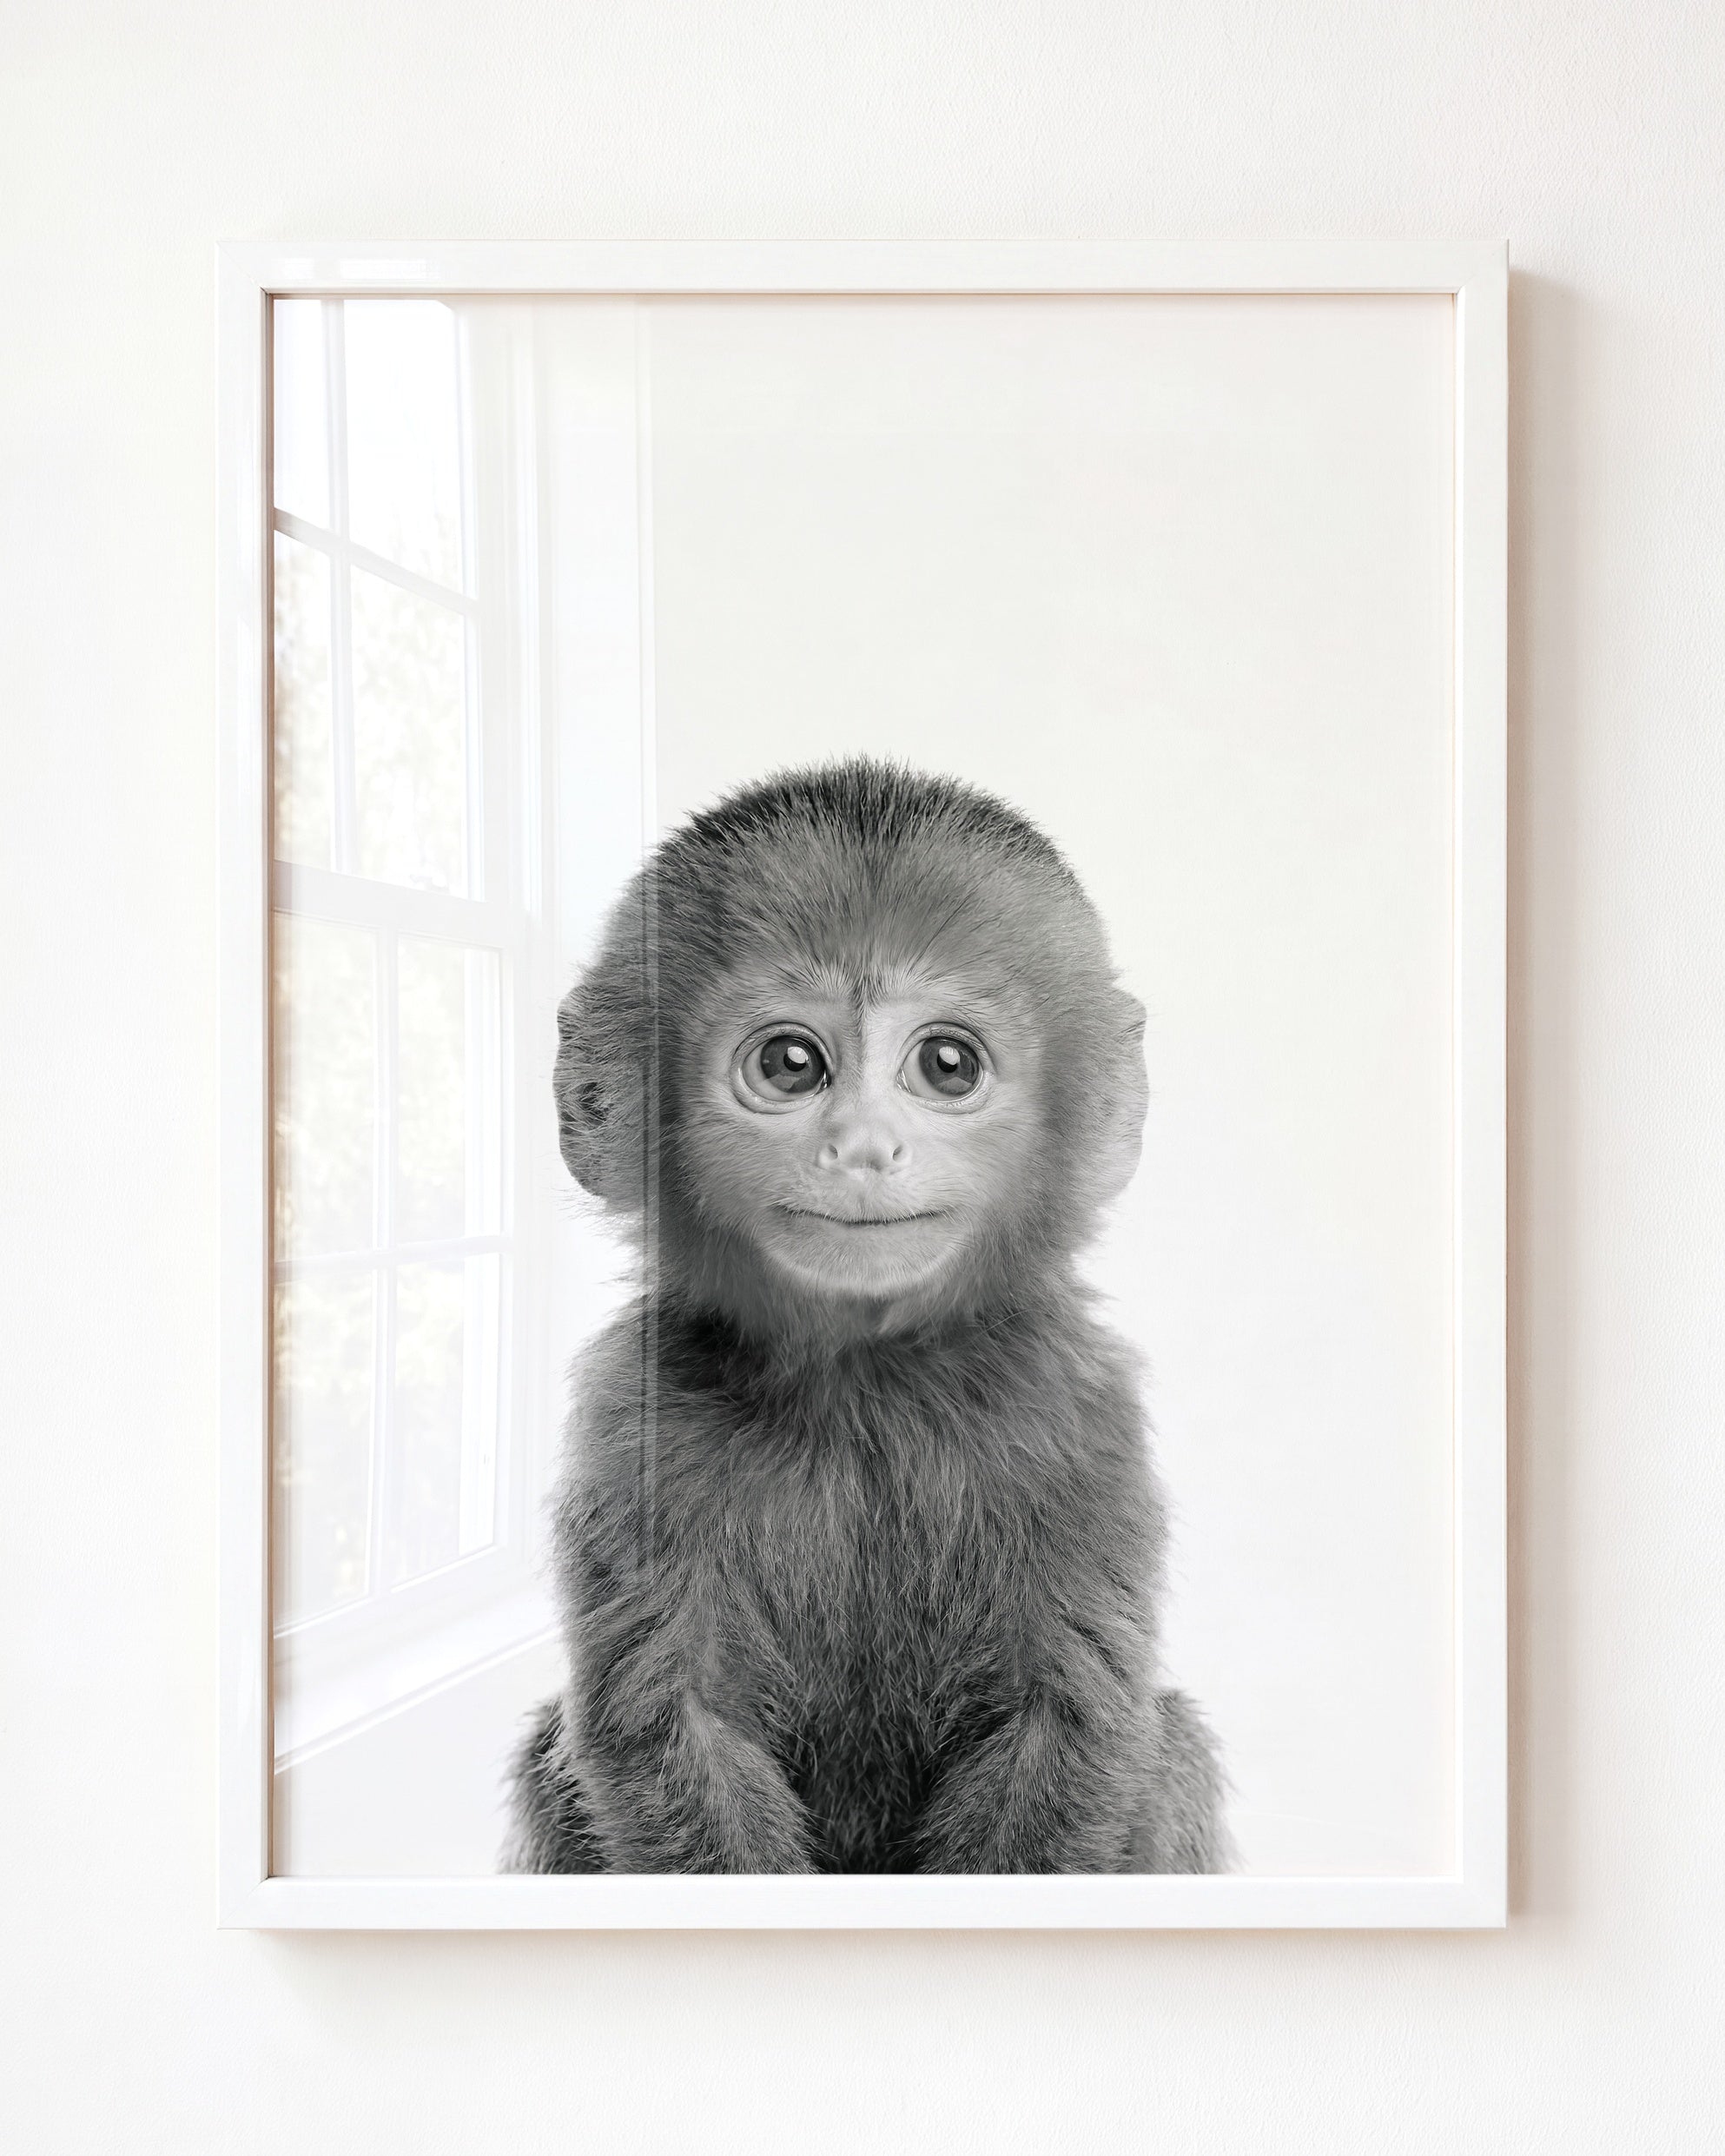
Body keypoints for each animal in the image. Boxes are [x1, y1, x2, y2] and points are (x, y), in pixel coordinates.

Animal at [503, 759, 1229, 1874]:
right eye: (791, 1065)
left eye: (947, 1065)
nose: (862, 1147)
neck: (865, 1383)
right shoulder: (632, 1414)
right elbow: (673, 1727)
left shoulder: (1081, 1408)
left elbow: (1064, 1724)